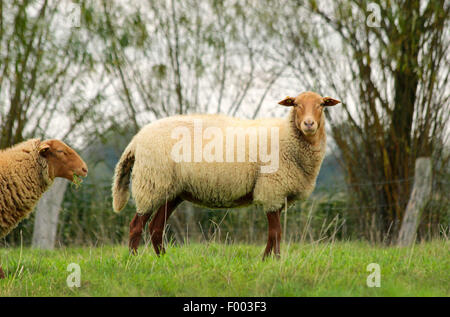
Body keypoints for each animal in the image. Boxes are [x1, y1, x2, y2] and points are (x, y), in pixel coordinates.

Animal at [112, 90, 342, 258]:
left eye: (322, 104)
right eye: (296, 104)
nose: (309, 124)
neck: (288, 136)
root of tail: (136, 140)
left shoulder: (275, 193)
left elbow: (273, 234)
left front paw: (266, 260)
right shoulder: (271, 189)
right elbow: (276, 233)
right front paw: (274, 260)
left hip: (171, 190)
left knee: (155, 227)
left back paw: (163, 259)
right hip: (151, 183)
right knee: (136, 226)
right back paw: (134, 260)